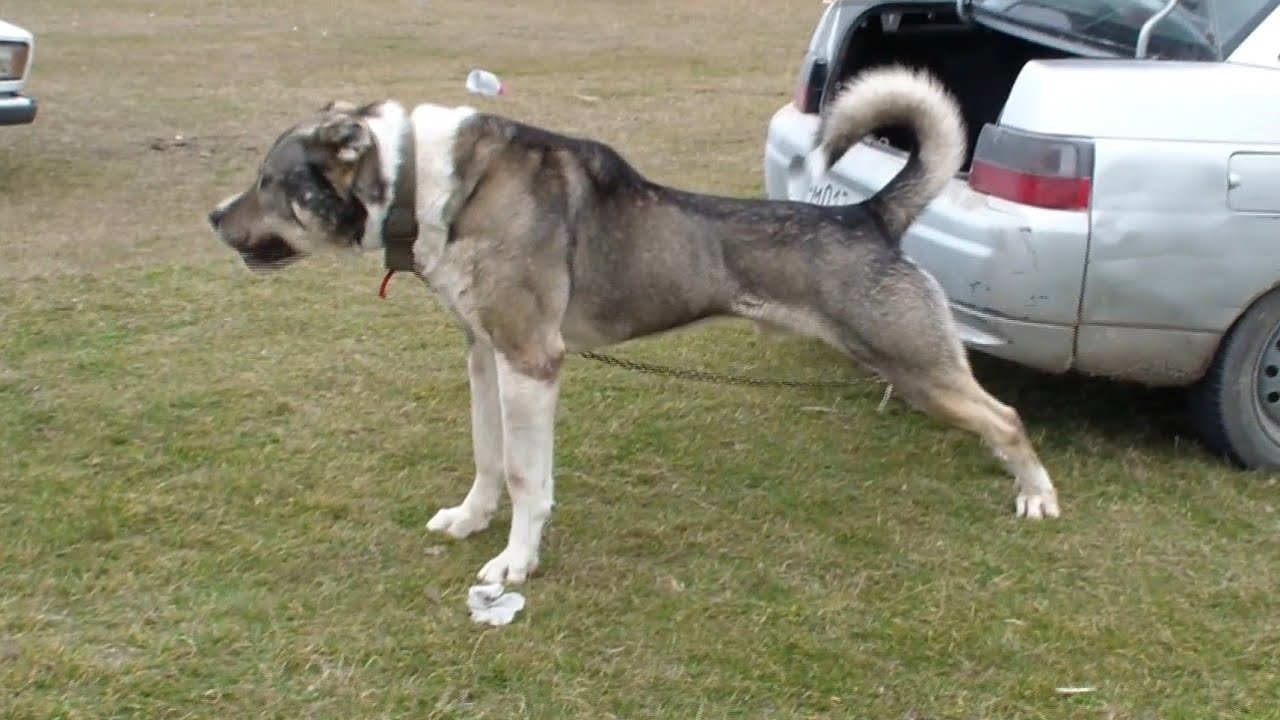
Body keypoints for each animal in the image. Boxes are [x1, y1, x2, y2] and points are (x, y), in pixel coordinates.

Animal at [208, 66, 1061, 585]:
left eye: (269, 182)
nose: (213, 217)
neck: (427, 181)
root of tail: (870, 215)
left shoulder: (533, 362)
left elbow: (527, 477)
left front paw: (515, 564)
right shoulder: (484, 354)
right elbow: (487, 459)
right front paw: (470, 521)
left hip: (917, 365)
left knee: (1007, 415)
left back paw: (1037, 497)